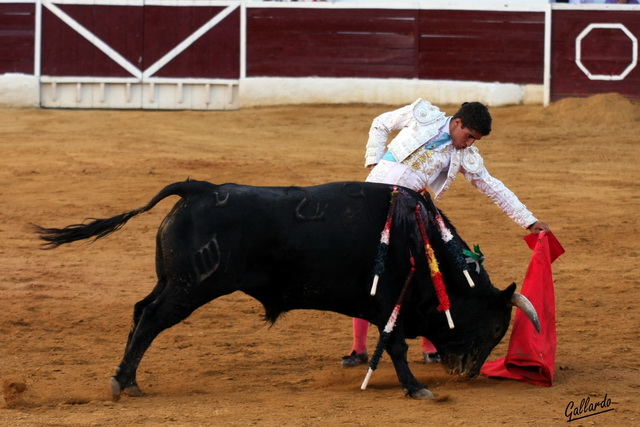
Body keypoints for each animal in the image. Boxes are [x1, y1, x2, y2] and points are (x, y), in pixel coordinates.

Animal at [36, 180, 540, 402]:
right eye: (495, 327)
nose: (466, 373)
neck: (422, 240)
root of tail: (200, 188)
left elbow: (388, 344)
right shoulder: (389, 302)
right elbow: (395, 345)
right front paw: (417, 388)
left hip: (171, 281)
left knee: (141, 311)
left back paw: (133, 380)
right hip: (188, 288)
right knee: (151, 319)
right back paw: (121, 382)